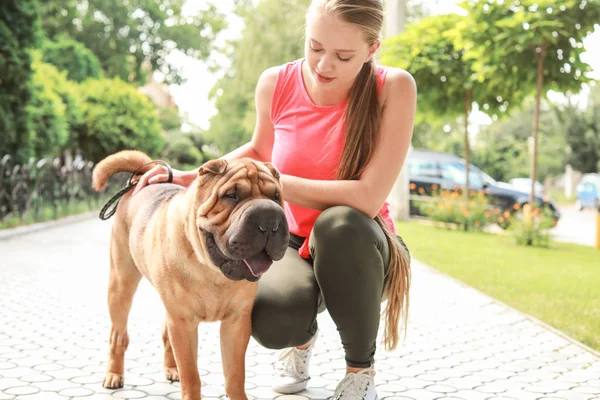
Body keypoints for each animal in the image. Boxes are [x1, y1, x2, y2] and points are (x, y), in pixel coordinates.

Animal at [92, 151, 290, 400]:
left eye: (276, 196)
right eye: (231, 196)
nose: (269, 220)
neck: (212, 271)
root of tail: (139, 179)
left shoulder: (236, 322)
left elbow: (235, 374)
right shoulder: (184, 323)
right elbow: (191, 375)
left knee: (165, 334)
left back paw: (171, 369)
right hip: (121, 284)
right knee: (118, 335)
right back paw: (113, 374)